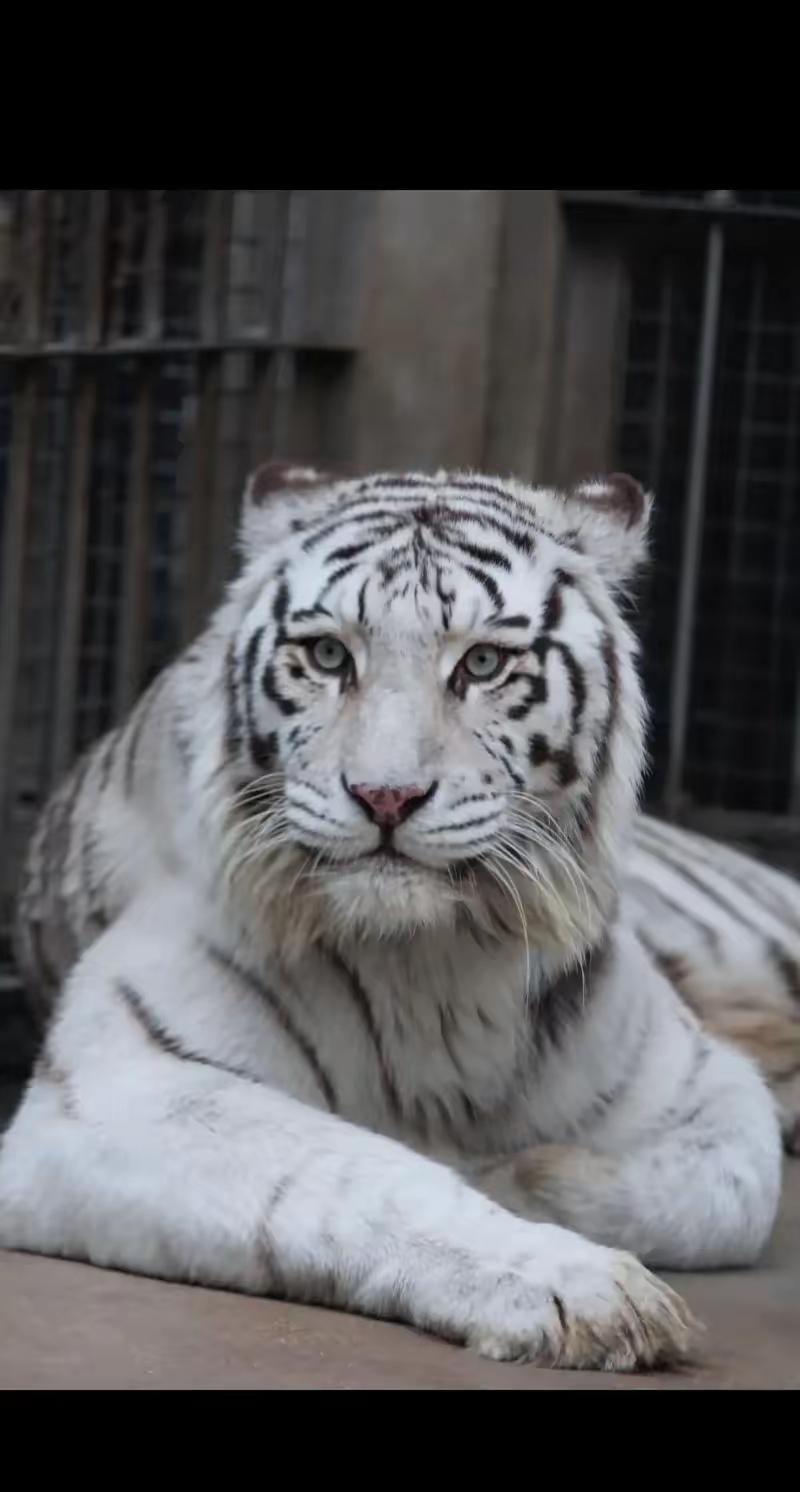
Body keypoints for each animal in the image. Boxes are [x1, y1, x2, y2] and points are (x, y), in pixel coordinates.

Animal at [0, 461, 794, 1374]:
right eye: (327, 654)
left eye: (483, 662)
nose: (385, 796)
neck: (433, 967)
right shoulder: (125, 1085)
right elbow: (351, 1171)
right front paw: (576, 1285)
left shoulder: (702, 1079)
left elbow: (730, 1191)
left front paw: (511, 1176)